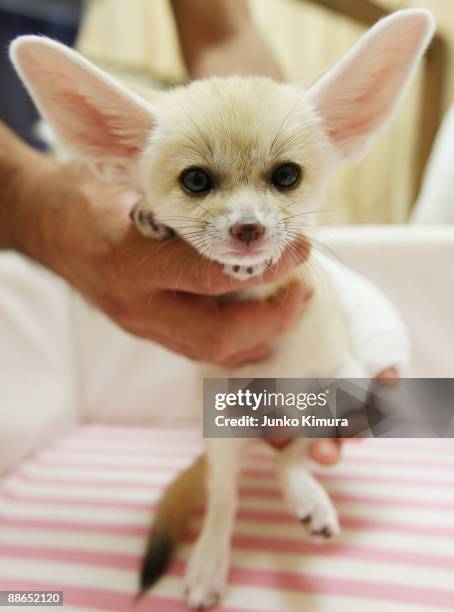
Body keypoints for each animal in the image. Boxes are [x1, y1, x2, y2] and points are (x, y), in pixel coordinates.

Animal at [11, 8, 432, 608]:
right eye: (195, 181)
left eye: (286, 176)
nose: (248, 229)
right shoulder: (224, 418)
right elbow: (226, 495)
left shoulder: (339, 385)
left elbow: (301, 450)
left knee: (296, 449)